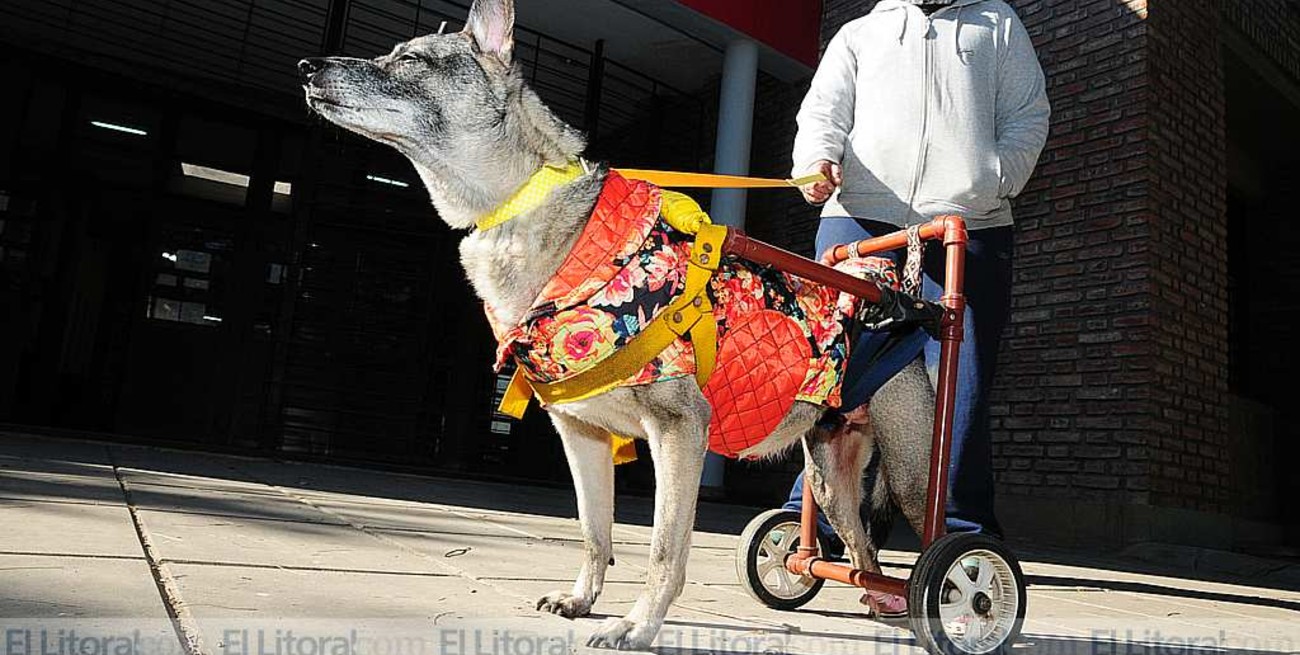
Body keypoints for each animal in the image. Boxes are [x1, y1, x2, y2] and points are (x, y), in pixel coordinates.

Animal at [299, 0, 935, 647]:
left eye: (410, 60)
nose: (307, 65)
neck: (524, 203)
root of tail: (897, 306)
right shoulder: (581, 436)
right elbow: (594, 533)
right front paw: (582, 600)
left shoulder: (679, 434)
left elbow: (663, 550)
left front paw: (637, 625)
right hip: (829, 484)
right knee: (862, 552)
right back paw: (882, 606)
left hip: (912, 481)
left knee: (934, 548)